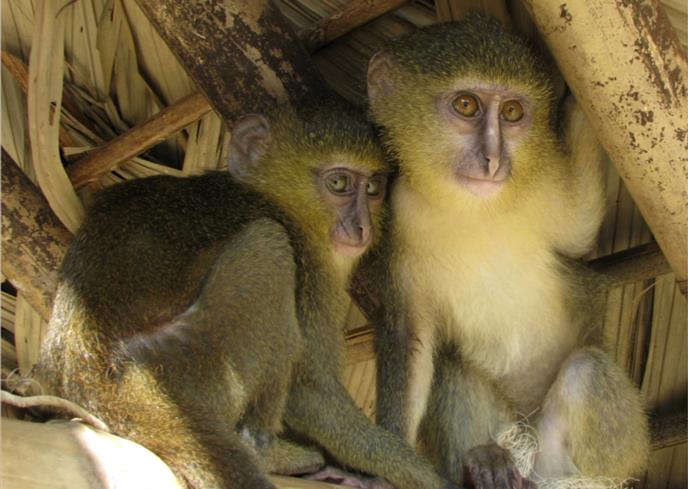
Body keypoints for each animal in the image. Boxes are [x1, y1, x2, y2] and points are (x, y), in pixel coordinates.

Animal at [34, 99, 457, 489]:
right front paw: (423, 475)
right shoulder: (311, 268)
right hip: (191, 365)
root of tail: (94, 375)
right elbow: (309, 391)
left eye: (372, 188)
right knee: (266, 247)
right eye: (339, 183)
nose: (361, 226)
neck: (277, 199)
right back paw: (267, 452)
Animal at [363, 14, 649, 489]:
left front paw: (578, 101)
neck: (476, 208)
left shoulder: (546, 179)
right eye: (466, 105)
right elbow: (410, 337)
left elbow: (581, 231)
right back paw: (484, 464)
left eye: (512, 112)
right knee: (455, 366)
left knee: (586, 371)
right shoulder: (397, 216)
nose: (493, 159)